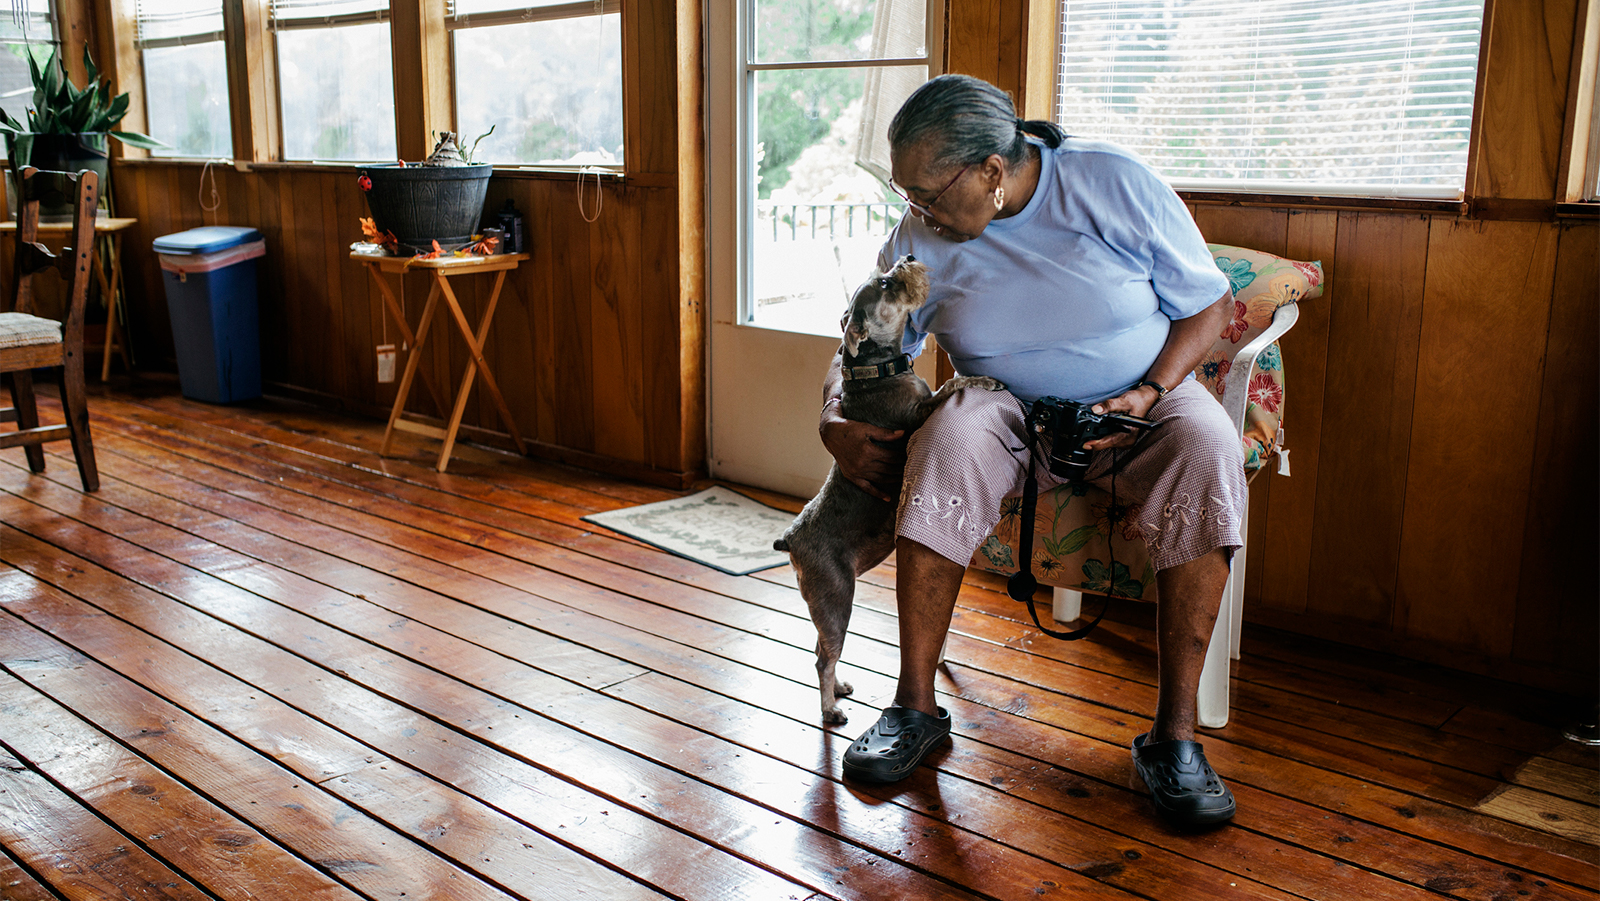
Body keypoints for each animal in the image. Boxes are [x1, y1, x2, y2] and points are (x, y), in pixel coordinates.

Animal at [771, 256, 998, 726]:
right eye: (886, 284)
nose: (907, 258)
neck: (875, 369)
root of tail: (792, 540)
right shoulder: (918, 413)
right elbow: (953, 386)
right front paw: (983, 379)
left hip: (826, 601)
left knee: (821, 648)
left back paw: (839, 687)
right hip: (836, 595)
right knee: (823, 656)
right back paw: (830, 708)